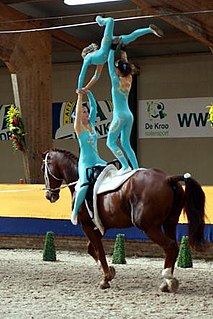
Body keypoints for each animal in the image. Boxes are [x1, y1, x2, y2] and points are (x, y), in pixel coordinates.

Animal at [41, 149, 206, 292]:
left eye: (43, 169)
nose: (49, 195)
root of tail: (168, 178)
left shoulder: (86, 225)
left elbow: (99, 251)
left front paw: (106, 279)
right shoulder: (98, 227)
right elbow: (91, 249)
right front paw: (109, 271)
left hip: (149, 227)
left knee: (170, 246)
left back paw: (168, 279)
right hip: (169, 223)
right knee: (173, 246)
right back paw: (166, 282)